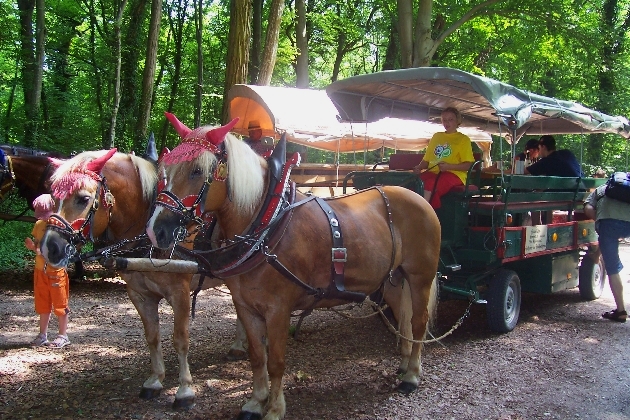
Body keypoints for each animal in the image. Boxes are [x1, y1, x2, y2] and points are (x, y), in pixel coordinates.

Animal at [38, 149, 248, 408]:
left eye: (83, 199)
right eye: (53, 197)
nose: (50, 248)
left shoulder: (179, 293)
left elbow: (180, 339)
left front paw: (185, 390)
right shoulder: (139, 294)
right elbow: (152, 336)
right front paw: (155, 380)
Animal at [147, 115, 444, 420]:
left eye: (197, 170)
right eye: (165, 171)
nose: (156, 230)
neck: (267, 224)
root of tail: (417, 198)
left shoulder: (278, 309)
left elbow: (276, 361)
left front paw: (275, 408)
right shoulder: (246, 307)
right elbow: (257, 357)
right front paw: (256, 401)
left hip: (420, 276)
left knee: (418, 322)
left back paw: (412, 376)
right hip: (393, 279)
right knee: (403, 316)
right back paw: (405, 364)